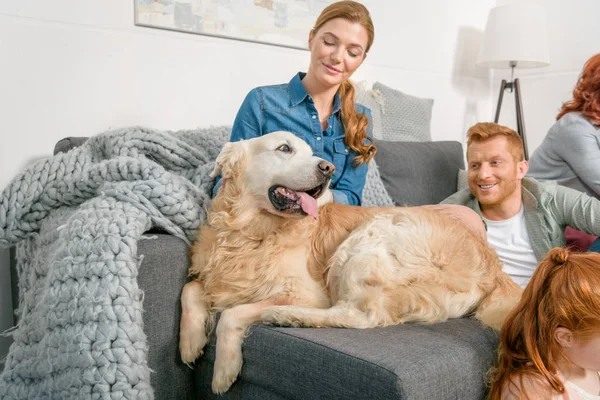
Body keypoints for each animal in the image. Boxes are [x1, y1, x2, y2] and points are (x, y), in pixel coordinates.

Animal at [180, 130, 524, 394]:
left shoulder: (306, 292)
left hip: (367, 238)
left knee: (361, 316)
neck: (251, 232)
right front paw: (190, 342)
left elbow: (231, 314)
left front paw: (223, 371)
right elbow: (191, 289)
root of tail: (490, 263)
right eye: (284, 148)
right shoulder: (212, 275)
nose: (328, 168)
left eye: (312, 152)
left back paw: (287, 315)